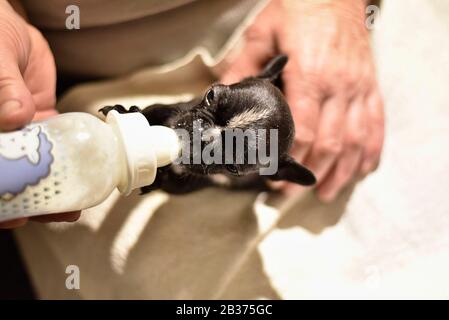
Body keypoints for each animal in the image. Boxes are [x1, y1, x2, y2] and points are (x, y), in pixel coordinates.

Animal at [99, 54, 316, 194]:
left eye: (232, 167)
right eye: (211, 95)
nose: (201, 134)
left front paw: (158, 174)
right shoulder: (178, 108)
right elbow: (154, 110)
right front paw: (126, 113)